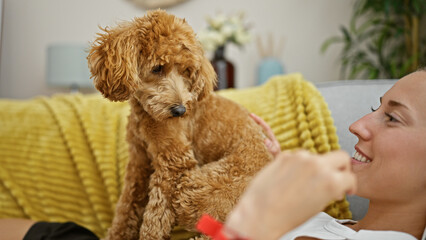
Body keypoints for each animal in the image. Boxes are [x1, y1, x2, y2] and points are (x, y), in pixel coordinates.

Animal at [88, 9, 272, 240]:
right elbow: (126, 207)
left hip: (193, 188)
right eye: (157, 68)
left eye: (186, 71)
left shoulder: (173, 165)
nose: (180, 111)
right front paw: (117, 234)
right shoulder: (139, 162)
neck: (146, 115)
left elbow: (155, 220)